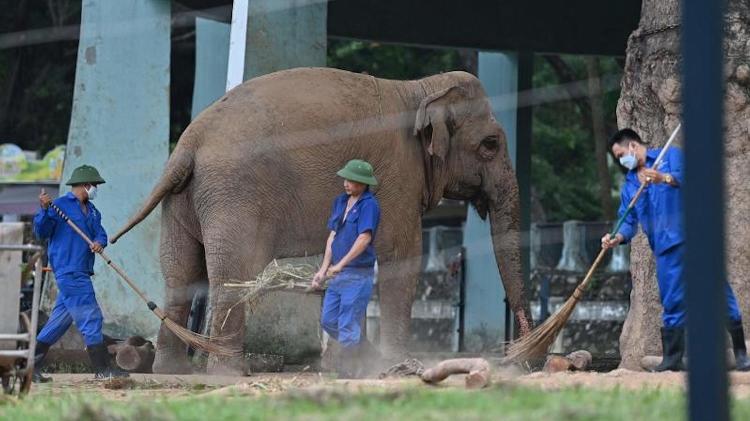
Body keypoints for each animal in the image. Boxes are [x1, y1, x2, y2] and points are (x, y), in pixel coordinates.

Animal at [113, 67, 536, 372]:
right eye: (491, 145)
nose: (523, 362)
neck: (419, 90)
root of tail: (189, 142)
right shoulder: (398, 174)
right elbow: (401, 253)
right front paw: (396, 365)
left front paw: (358, 362)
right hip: (233, 196)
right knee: (232, 274)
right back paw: (229, 373)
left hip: (184, 200)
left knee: (180, 272)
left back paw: (170, 371)